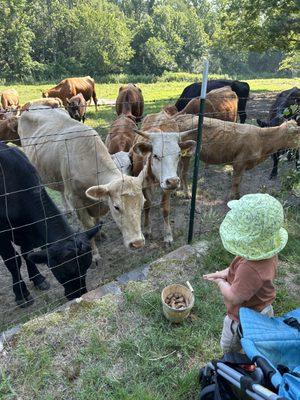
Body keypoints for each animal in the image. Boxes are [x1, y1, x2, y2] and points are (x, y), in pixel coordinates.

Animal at [0, 142, 101, 308]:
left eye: (86, 268)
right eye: (66, 272)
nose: (79, 294)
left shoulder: (27, 231)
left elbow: (27, 254)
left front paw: (38, 279)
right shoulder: (2, 235)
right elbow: (14, 262)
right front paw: (21, 294)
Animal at [17, 107, 146, 262]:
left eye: (142, 203)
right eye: (116, 207)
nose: (137, 242)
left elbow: (97, 220)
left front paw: (99, 234)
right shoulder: (75, 199)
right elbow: (88, 226)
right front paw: (95, 255)